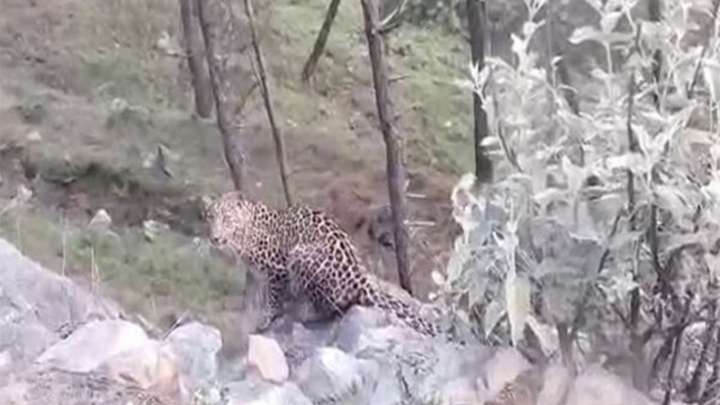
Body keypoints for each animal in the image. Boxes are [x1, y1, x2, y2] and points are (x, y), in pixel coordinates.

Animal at [203, 190, 442, 337]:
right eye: (210, 218)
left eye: (227, 219)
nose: (215, 238)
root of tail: (359, 278)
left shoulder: (278, 269)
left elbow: (273, 297)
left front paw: (267, 317)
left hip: (299, 253)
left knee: (333, 307)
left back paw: (307, 313)